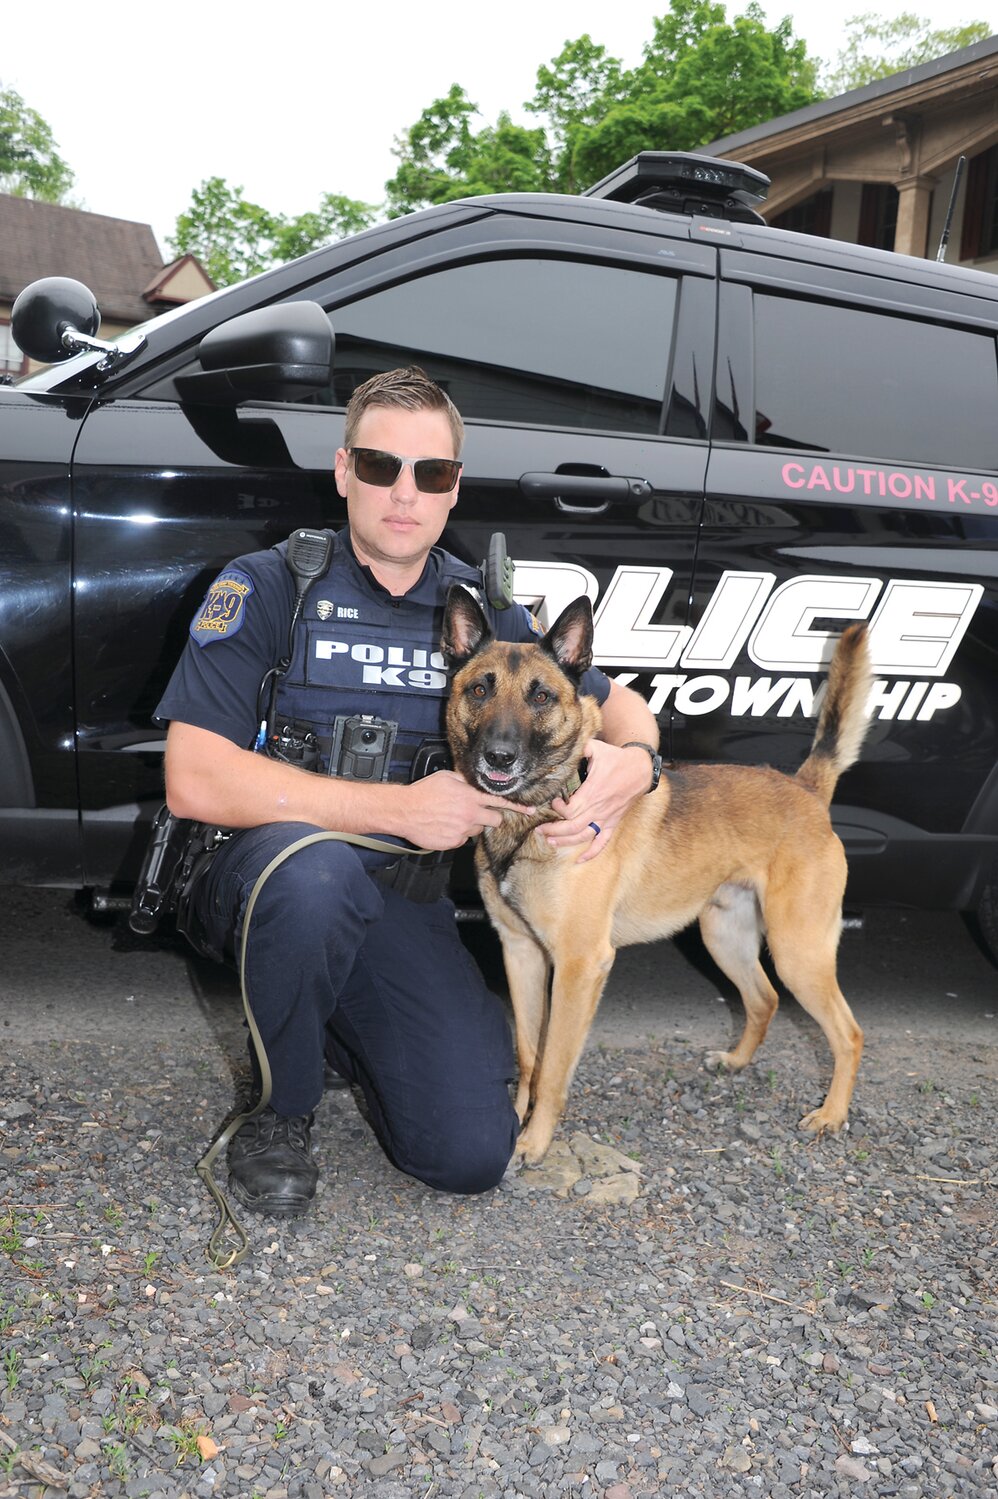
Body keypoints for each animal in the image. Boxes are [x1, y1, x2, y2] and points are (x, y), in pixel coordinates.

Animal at [440, 590, 869, 1163]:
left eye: (542, 697)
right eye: (480, 689)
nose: (500, 756)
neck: (535, 814)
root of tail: (804, 787)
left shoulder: (580, 966)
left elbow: (553, 1066)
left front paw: (534, 1140)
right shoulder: (520, 952)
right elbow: (529, 1055)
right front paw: (514, 1119)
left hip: (798, 953)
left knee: (848, 1033)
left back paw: (831, 1114)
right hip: (724, 938)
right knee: (765, 999)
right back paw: (736, 1062)